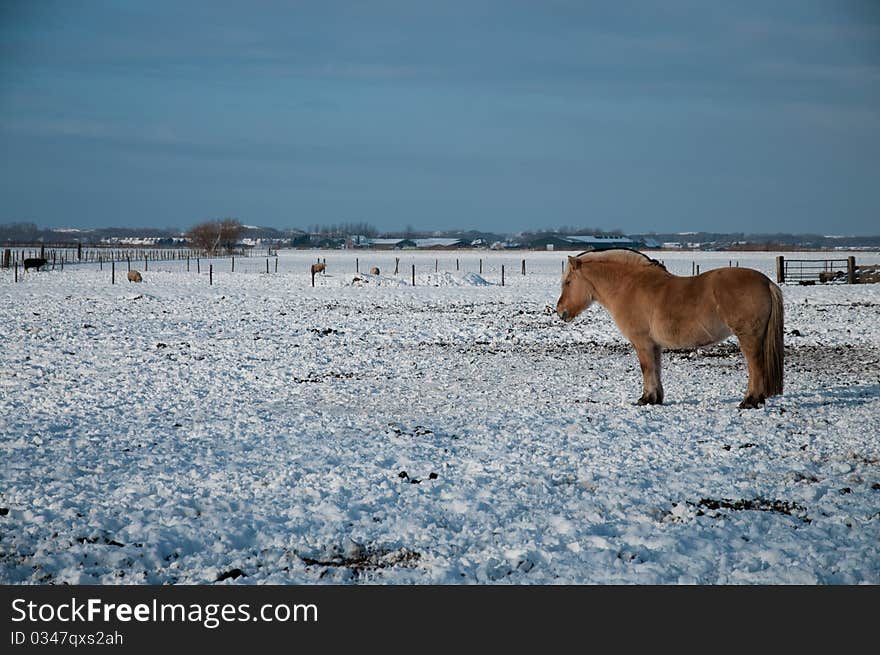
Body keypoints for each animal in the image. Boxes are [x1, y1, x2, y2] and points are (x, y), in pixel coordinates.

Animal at [552, 251, 788, 410]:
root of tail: (767, 282)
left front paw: (645, 399)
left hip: (748, 337)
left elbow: (646, 368)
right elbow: (656, 369)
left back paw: (749, 401)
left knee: (755, 366)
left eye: (568, 282)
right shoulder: (654, 345)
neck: (629, 286)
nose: (560, 311)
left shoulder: (642, 342)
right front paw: (655, 399)